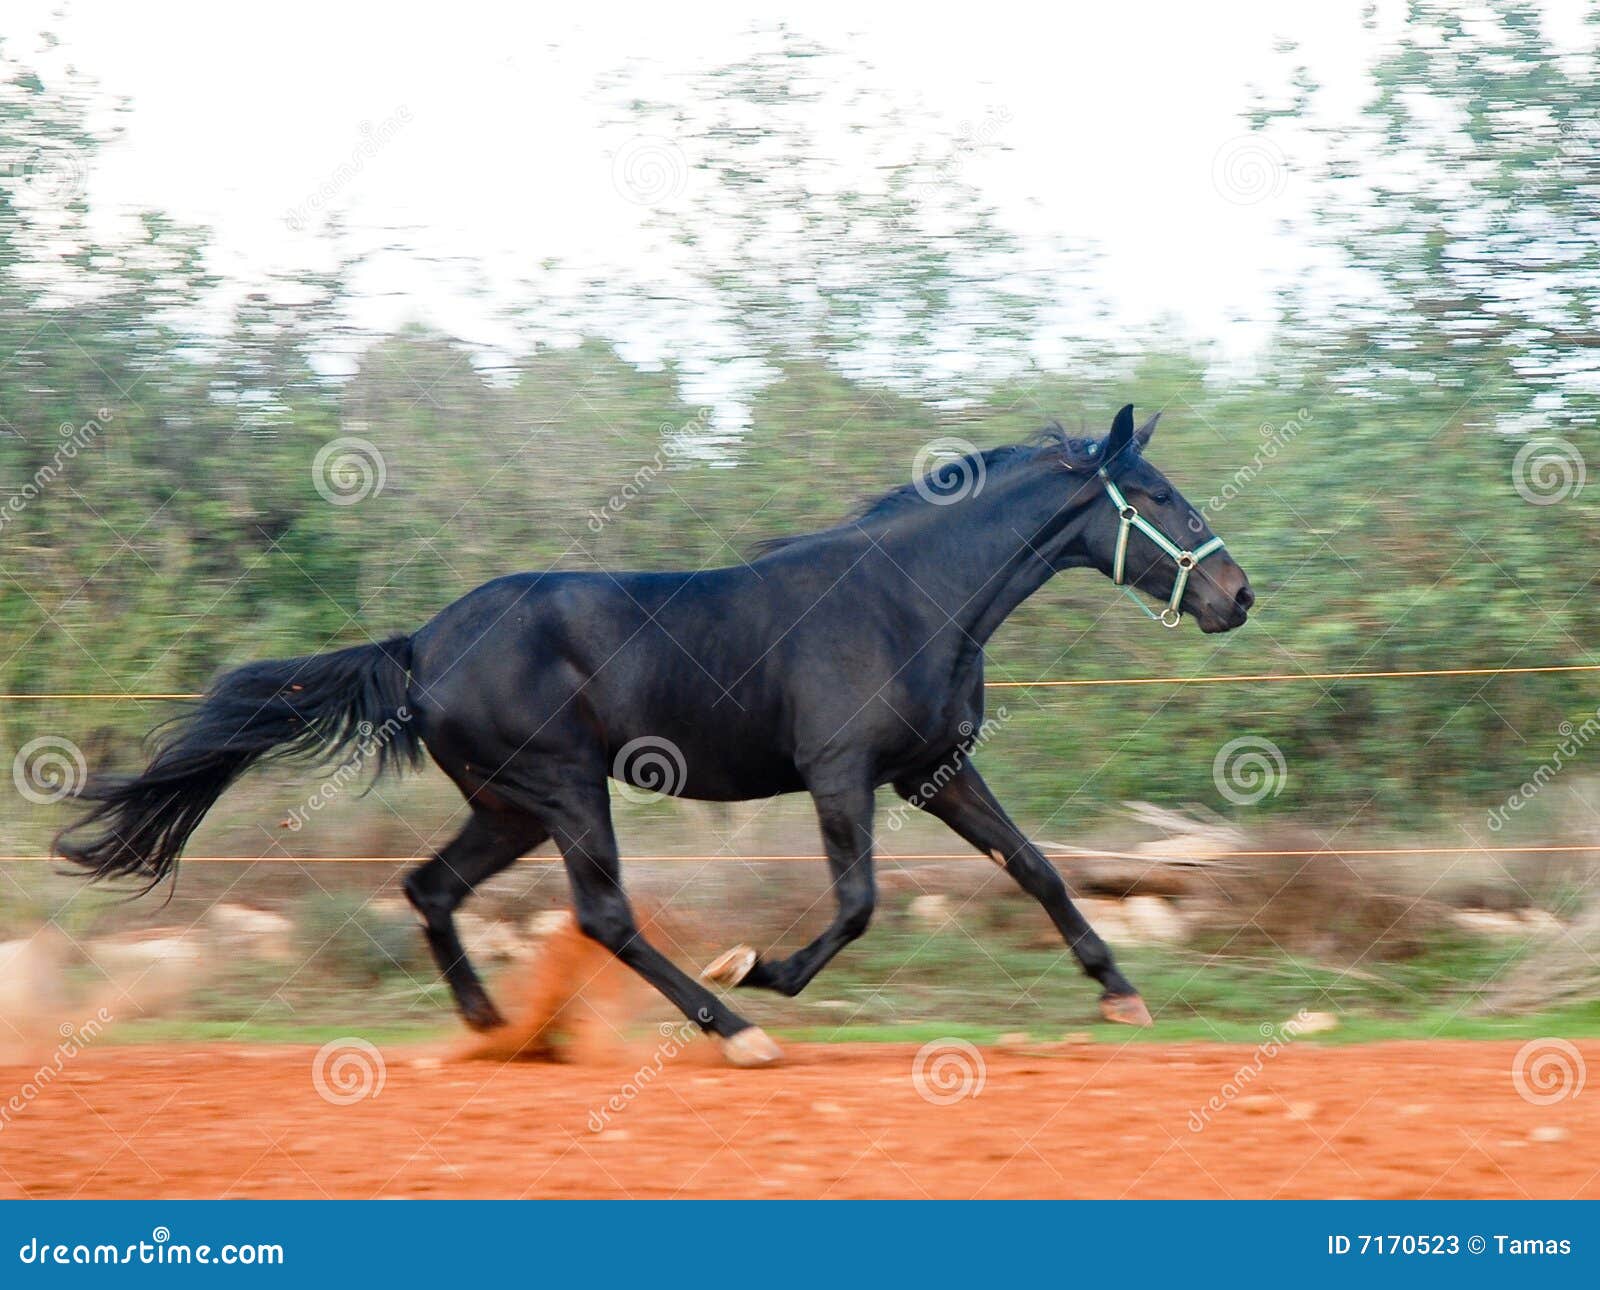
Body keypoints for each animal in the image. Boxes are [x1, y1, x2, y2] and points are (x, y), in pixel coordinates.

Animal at [59, 403, 1252, 1067]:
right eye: (1155, 494)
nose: (1235, 594)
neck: (910, 599)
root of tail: (420, 645)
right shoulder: (841, 775)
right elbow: (858, 905)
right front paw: (760, 970)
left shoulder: (933, 771)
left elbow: (1037, 866)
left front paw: (1121, 994)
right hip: (565, 789)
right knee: (601, 915)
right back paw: (732, 1030)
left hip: (510, 807)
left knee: (430, 887)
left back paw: (498, 1031)